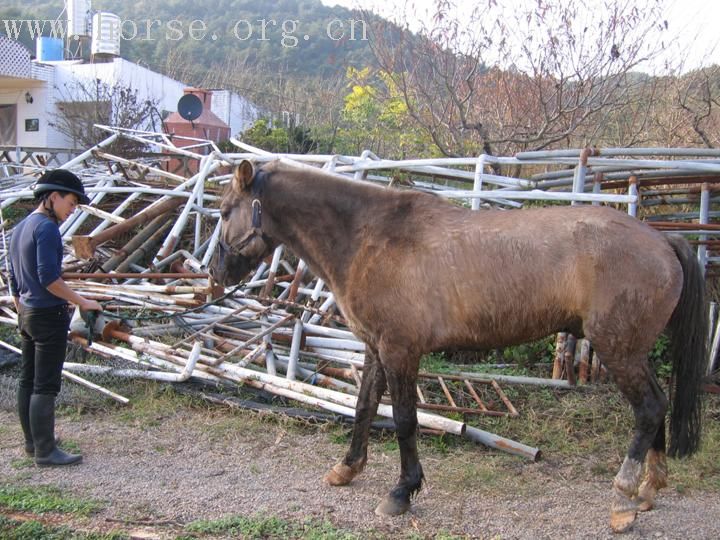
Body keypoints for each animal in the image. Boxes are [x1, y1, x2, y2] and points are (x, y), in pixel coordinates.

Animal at [211, 159, 704, 532]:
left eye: (224, 211)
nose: (216, 273)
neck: (370, 236)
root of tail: (662, 240)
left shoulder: (400, 351)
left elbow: (404, 420)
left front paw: (402, 492)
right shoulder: (375, 348)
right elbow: (365, 407)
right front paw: (347, 468)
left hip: (618, 350)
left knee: (647, 410)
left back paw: (622, 502)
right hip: (633, 352)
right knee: (657, 406)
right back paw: (647, 491)